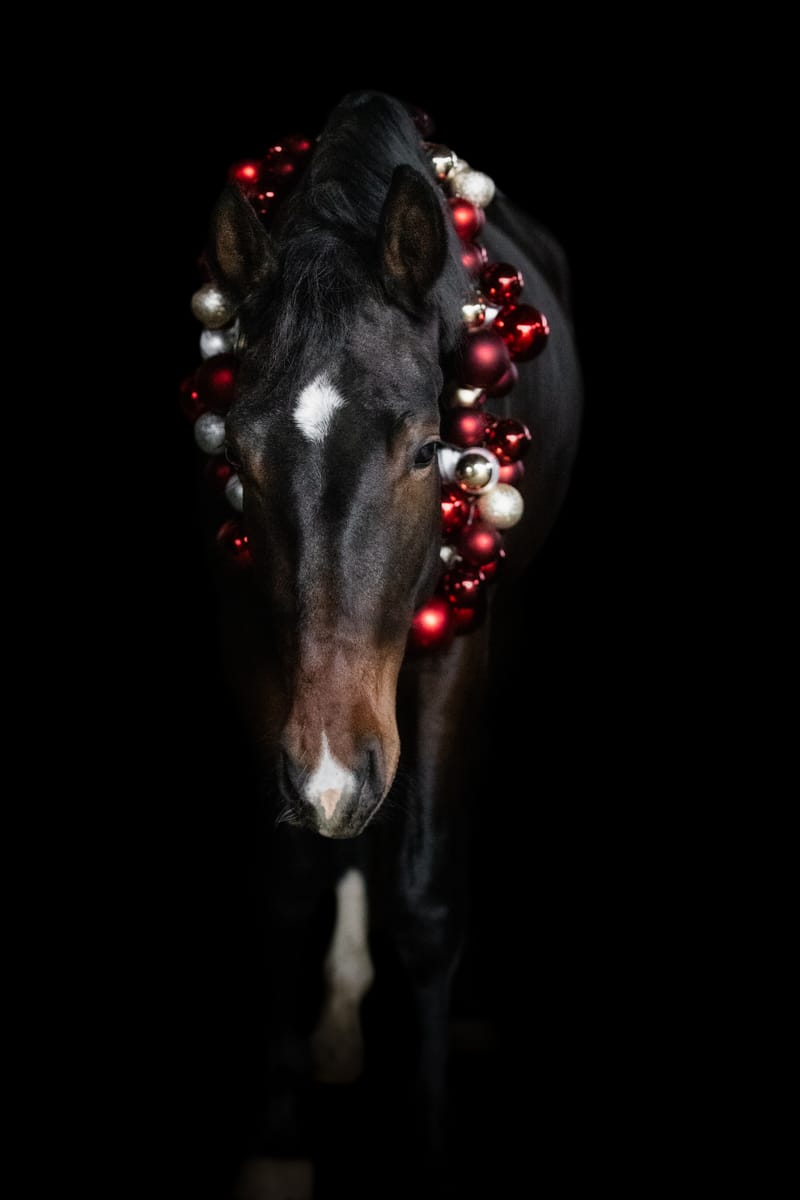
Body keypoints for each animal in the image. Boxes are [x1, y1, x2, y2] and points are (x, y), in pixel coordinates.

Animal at [190, 90, 582, 1199]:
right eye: (238, 457)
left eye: (425, 451)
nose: (331, 770)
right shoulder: (257, 646)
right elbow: (288, 887)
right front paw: (280, 1134)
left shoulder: (451, 654)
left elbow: (424, 897)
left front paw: (428, 1136)